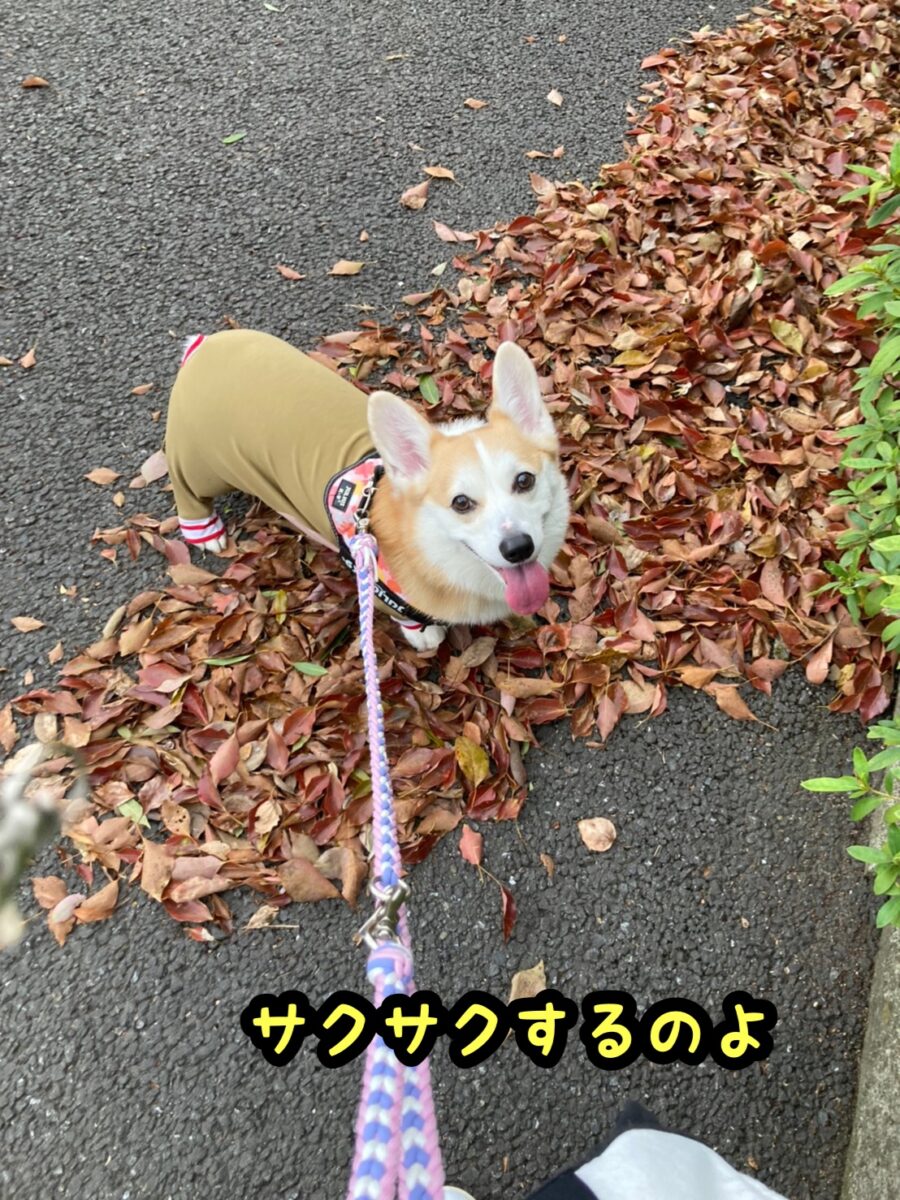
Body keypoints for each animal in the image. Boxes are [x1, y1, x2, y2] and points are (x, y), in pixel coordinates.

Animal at [164, 329, 569, 650]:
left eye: (524, 480)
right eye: (461, 503)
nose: (518, 548)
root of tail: (204, 348)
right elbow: (408, 616)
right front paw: (423, 633)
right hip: (200, 460)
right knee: (185, 483)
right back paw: (205, 532)